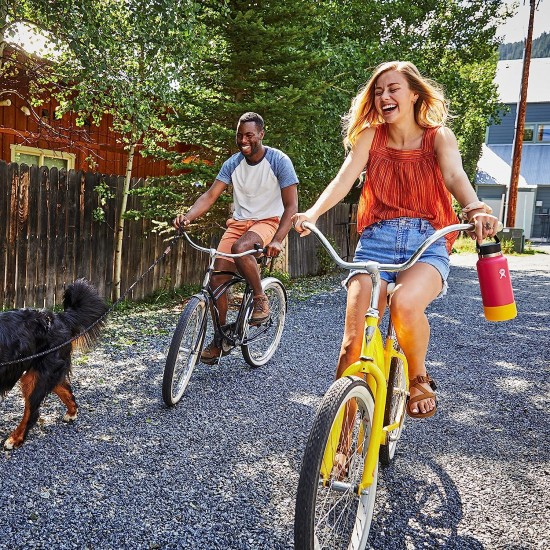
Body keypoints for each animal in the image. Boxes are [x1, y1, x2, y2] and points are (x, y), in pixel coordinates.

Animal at [0, 278, 106, 450]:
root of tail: (59, 318)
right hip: (44, 372)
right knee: (64, 388)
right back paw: (71, 413)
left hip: (38, 375)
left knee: (32, 411)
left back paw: (15, 438)